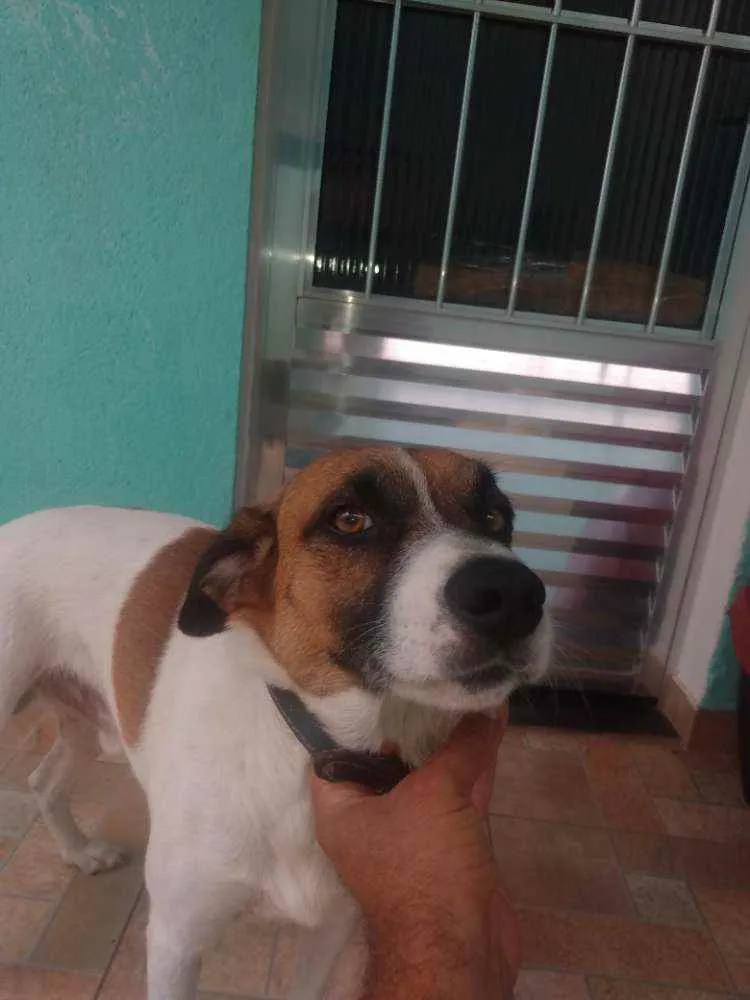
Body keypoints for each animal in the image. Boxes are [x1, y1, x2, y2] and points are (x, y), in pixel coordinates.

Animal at [0, 445, 552, 999]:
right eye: (350, 519)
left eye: (495, 517)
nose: (515, 594)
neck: (303, 746)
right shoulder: (176, 937)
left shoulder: (332, 926)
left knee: (43, 780)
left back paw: (79, 853)